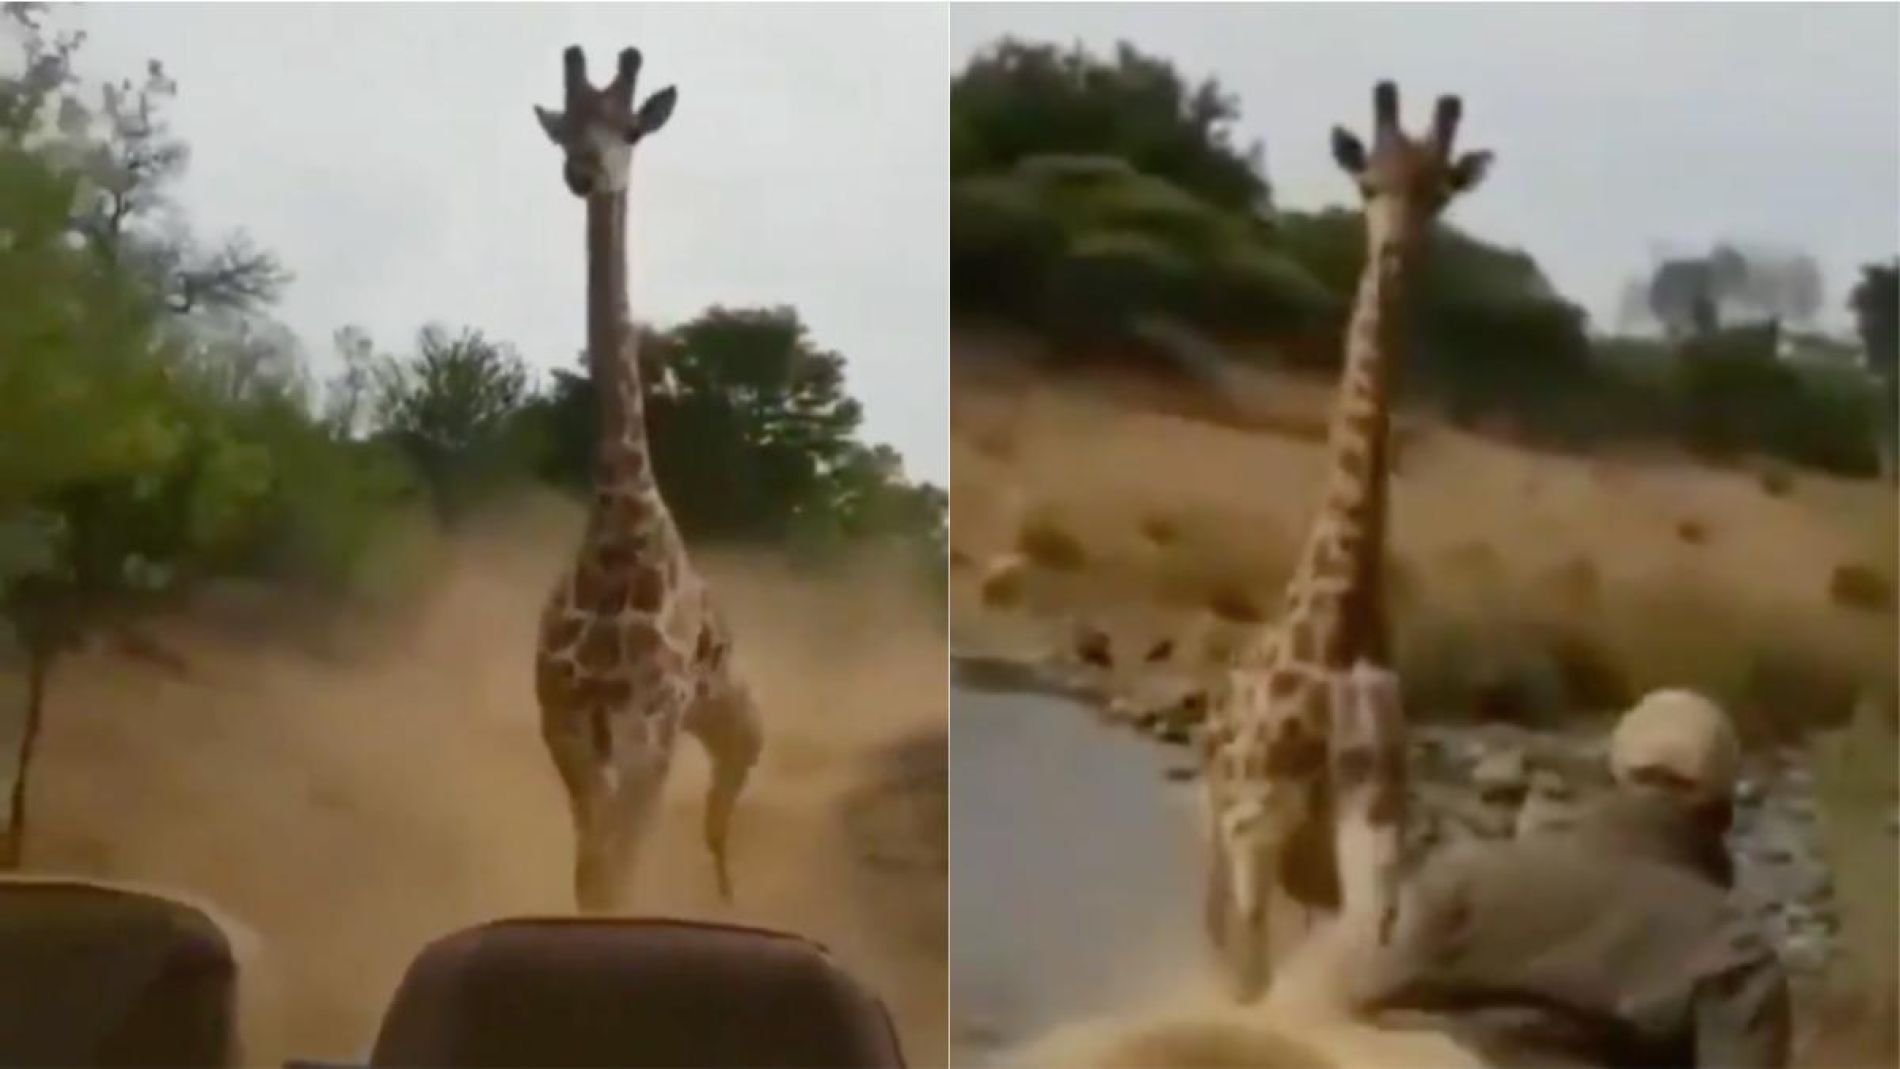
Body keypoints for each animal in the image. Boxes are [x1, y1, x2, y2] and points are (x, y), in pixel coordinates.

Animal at [530, 45, 763, 914]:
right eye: (566, 125)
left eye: (630, 127)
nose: (584, 171)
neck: (616, 524)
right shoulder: (568, 725)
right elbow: (592, 873)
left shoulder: (647, 731)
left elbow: (617, 874)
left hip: (737, 727)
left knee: (721, 825)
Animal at [1196, 80, 1491, 1002]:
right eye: (1366, 184)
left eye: (1440, 193)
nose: (1394, 254)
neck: (1341, 617)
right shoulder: (1254, 833)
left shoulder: (1369, 837)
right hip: (1227, 845)